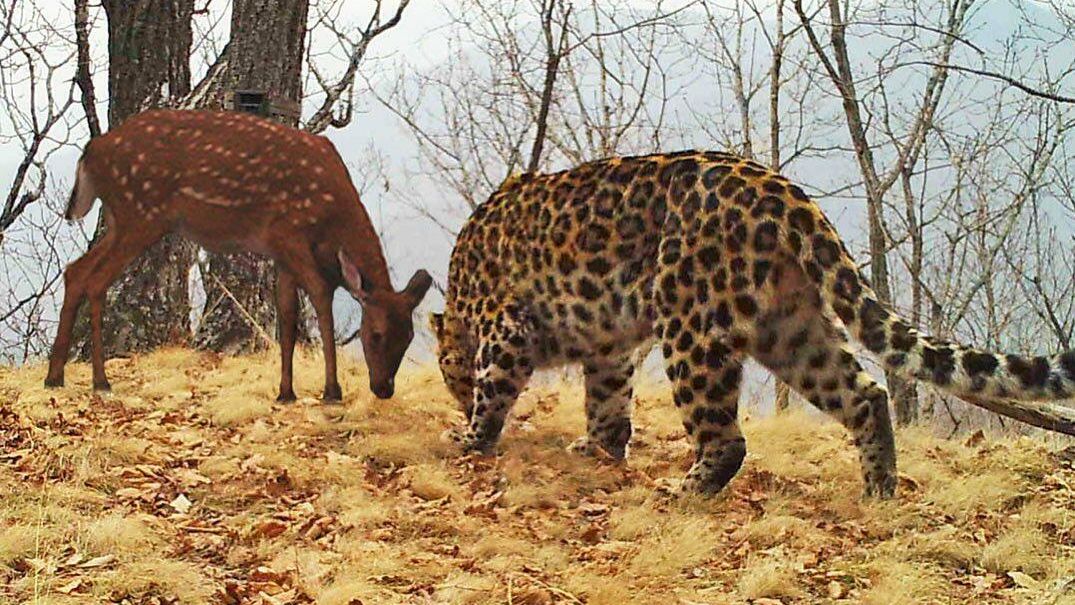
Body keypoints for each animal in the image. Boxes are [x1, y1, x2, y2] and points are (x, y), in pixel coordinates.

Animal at [45, 109, 432, 402]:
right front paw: (331, 390)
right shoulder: (287, 234)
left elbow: (287, 314)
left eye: (409, 337)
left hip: (119, 218)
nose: (383, 389)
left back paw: (56, 375)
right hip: (140, 212)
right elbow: (321, 299)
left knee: (76, 270)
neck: (330, 219)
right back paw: (99, 380)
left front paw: (286, 392)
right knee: (96, 278)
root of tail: (90, 152)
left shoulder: (281, 255)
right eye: (376, 334)